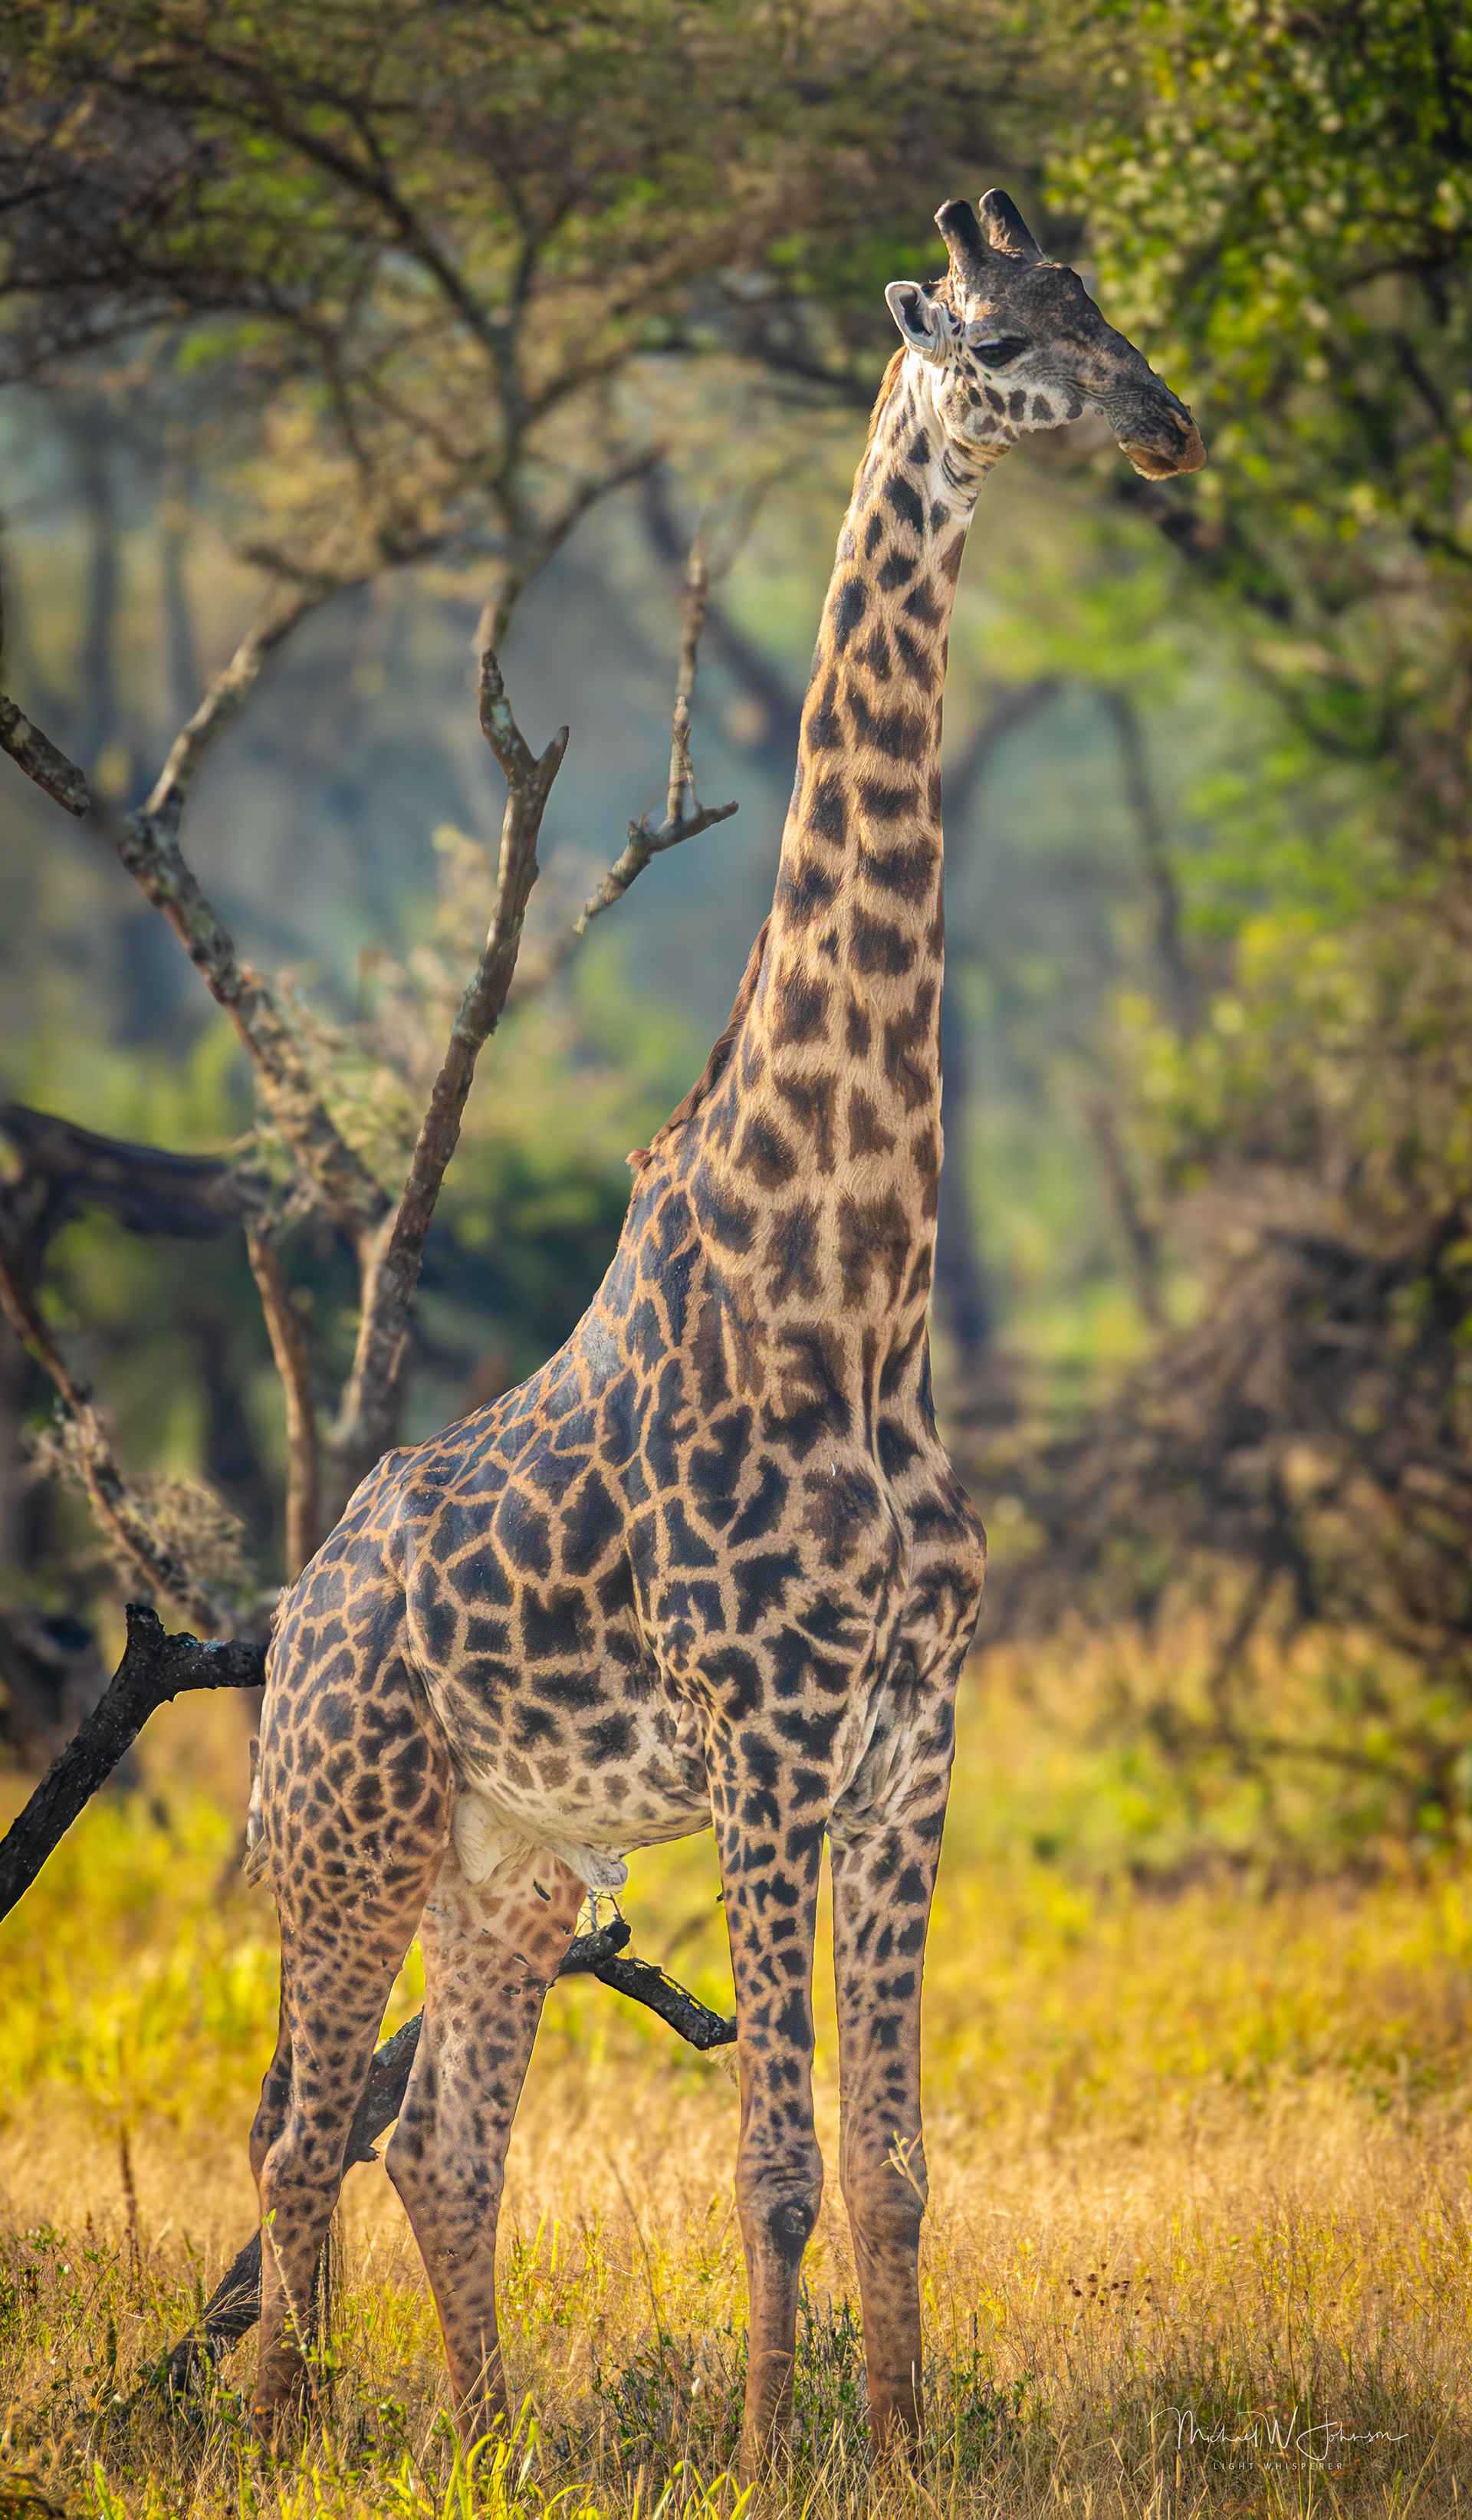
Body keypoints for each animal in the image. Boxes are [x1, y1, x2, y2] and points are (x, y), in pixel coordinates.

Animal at [247, 190, 1204, 2477]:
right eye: (1006, 339)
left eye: (1112, 308)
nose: (1172, 428)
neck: (849, 1298)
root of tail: (288, 1615)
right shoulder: (768, 1741)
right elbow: (768, 2157)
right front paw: (778, 2461)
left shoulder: (913, 1736)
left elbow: (894, 2161)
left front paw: (914, 2451)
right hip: (343, 1837)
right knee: (298, 2132)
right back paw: (280, 2432)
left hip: (511, 1864)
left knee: (433, 2141)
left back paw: (485, 2440)